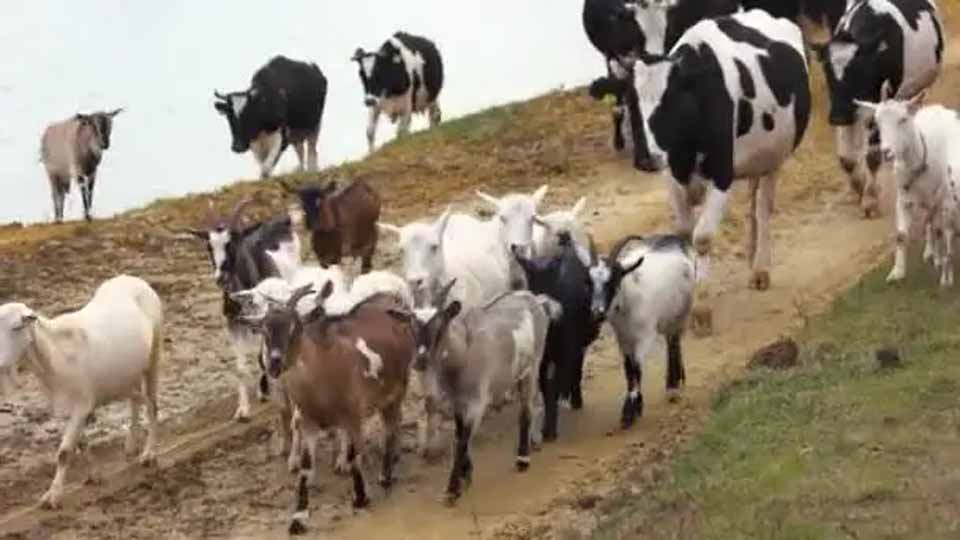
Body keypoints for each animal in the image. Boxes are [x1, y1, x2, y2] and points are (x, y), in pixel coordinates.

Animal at [0, 275, 162, 508]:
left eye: (16, 328)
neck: (55, 353)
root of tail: (131, 278)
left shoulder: (81, 405)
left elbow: (64, 452)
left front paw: (53, 496)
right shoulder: (68, 407)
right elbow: (81, 444)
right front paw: (94, 475)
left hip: (153, 355)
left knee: (152, 404)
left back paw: (149, 454)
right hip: (126, 374)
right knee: (136, 400)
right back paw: (131, 444)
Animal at [242, 282, 415, 535]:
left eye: (295, 327)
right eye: (264, 331)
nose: (275, 362)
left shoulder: (353, 414)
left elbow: (353, 456)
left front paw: (360, 498)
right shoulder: (308, 421)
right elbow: (306, 468)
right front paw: (298, 518)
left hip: (396, 391)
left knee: (391, 428)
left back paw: (385, 476)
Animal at [413, 282, 561, 505]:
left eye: (442, 322)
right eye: (411, 322)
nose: (420, 361)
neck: (464, 350)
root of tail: (535, 299)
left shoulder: (477, 401)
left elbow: (462, 440)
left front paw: (453, 488)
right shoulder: (457, 401)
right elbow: (459, 435)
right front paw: (466, 475)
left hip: (532, 365)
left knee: (526, 408)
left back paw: (523, 458)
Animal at [588, 234, 695, 429]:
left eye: (614, 280)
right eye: (589, 282)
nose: (597, 312)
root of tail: (675, 240)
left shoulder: (644, 336)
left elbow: (637, 368)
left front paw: (630, 410)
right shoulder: (623, 339)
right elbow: (628, 369)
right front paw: (634, 405)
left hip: (681, 313)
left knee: (674, 342)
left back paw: (673, 386)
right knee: (671, 341)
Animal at [811, 0, 944, 217]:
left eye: (857, 70)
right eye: (827, 70)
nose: (838, 117)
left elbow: (872, 155)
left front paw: (870, 199)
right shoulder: (847, 108)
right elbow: (846, 158)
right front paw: (858, 186)